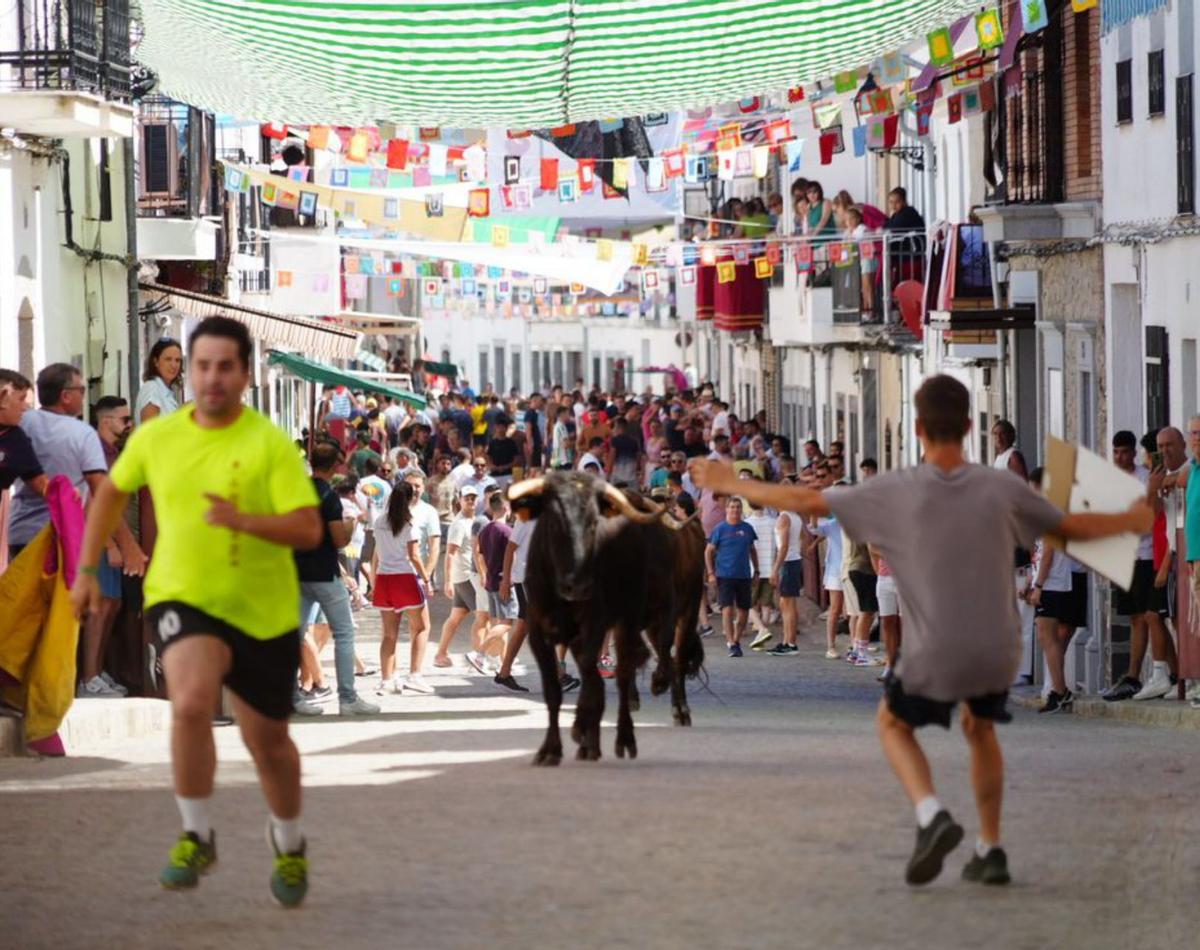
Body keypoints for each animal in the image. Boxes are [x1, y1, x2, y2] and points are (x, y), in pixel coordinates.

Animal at [511, 470, 705, 767]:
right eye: (554, 521)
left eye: (594, 522)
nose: (577, 584)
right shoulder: (540, 632)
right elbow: (556, 689)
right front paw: (553, 748)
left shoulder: (659, 609)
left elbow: (650, 655)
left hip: (688, 607)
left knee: (673, 658)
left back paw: (669, 714)